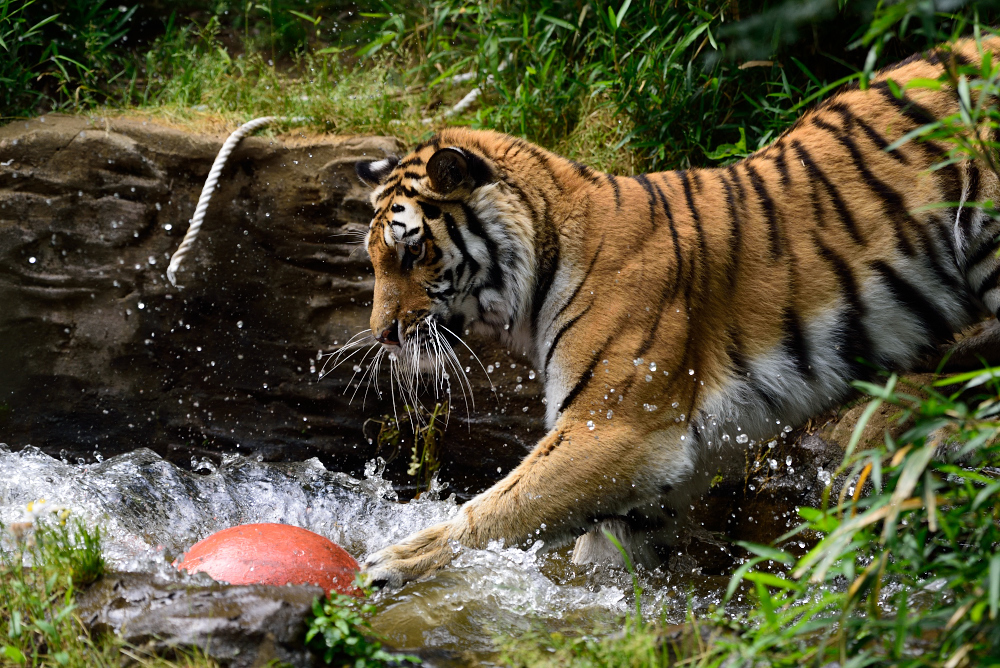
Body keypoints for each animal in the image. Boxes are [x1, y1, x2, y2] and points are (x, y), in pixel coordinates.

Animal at [350, 36, 1000, 584]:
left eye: (413, 251)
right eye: (374, 258)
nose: (382, 335)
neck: (547, 251)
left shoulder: (615, 430)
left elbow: (501, 504)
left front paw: (394, 560)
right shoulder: (655, 475)